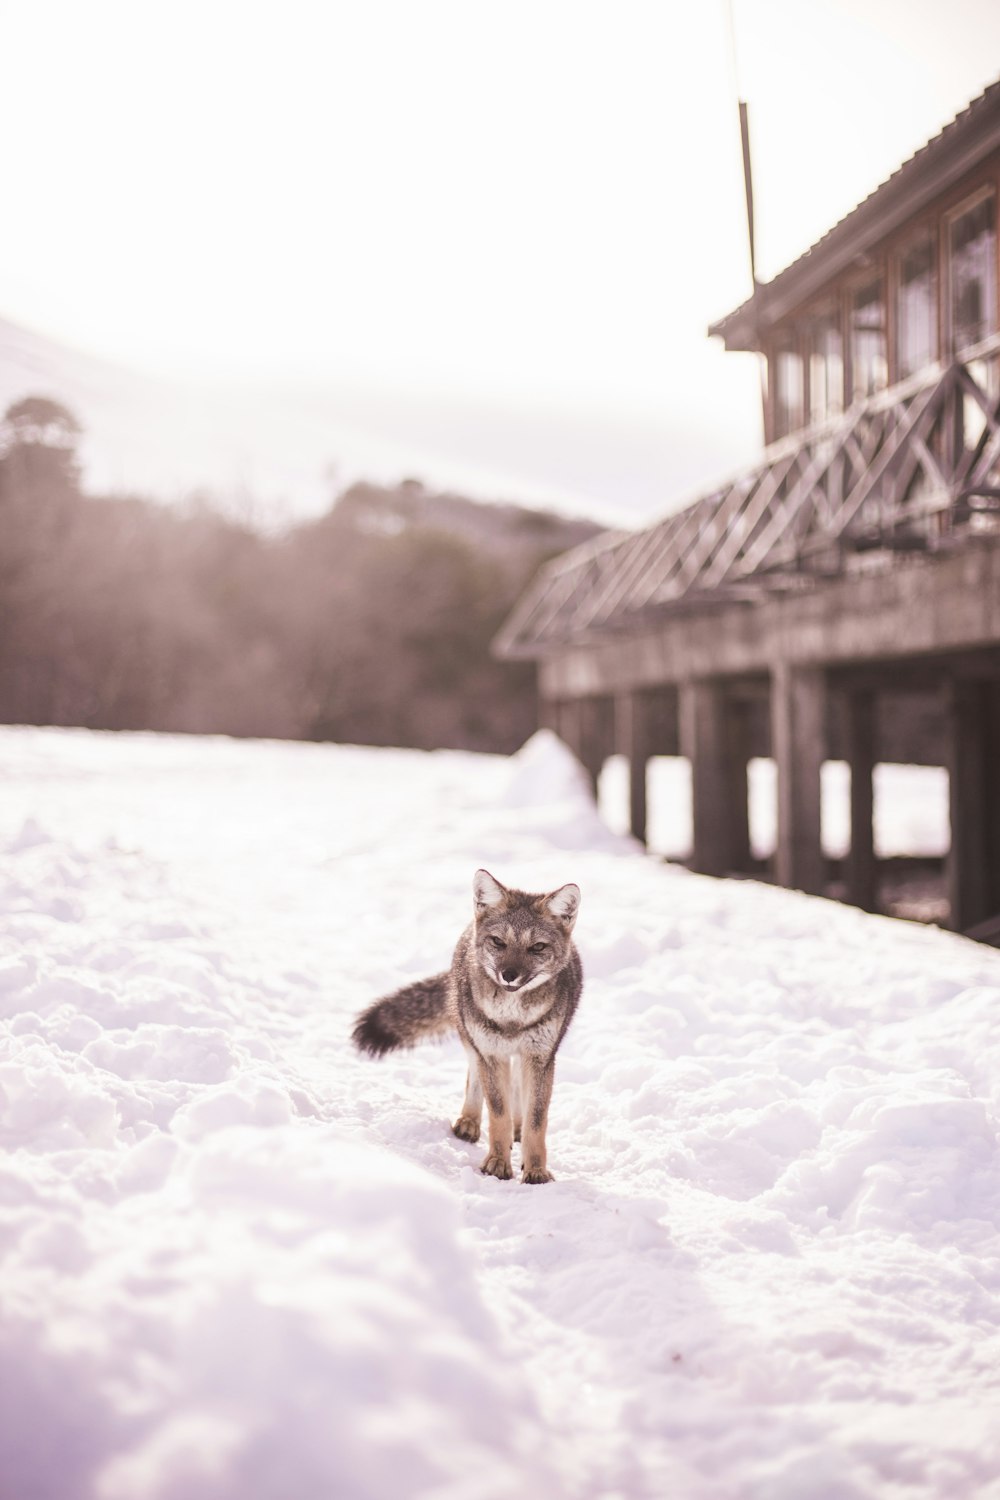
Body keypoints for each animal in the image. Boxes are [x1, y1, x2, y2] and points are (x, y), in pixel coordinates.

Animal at [353, 870, 581, 1182]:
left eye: (537, 947)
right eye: (498, 942)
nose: (509, 975)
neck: (512, 1019)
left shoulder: (540, 1057)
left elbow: (536, 1120)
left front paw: (535, 1170)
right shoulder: (491, 1053)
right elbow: (498, 1113)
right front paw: (497, 1162)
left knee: (517, 1092)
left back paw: (516, 1129)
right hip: (474, 1041)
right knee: (476, 1077)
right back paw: (470, 1123)